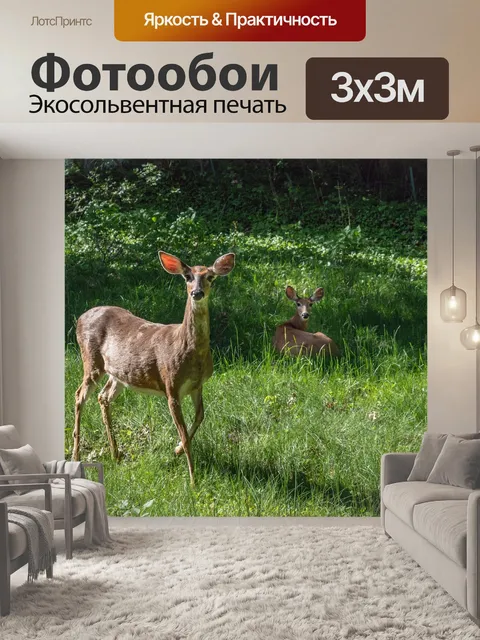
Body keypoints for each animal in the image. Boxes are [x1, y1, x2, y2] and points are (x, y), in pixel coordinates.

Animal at [73, 251, 236, 485]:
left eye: (210, 277)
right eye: (187, 276)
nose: (197, 293)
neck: (190, 351)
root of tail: (80, 317)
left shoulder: (197, 385)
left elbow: (200, 417)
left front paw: (176, 450)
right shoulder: (171, 385)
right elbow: (185, 433)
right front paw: (193, 480)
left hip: (118, 373)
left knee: (103, 397)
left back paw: (116, 454)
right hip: (92, 361)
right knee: (79, 395)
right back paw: (76, 456)